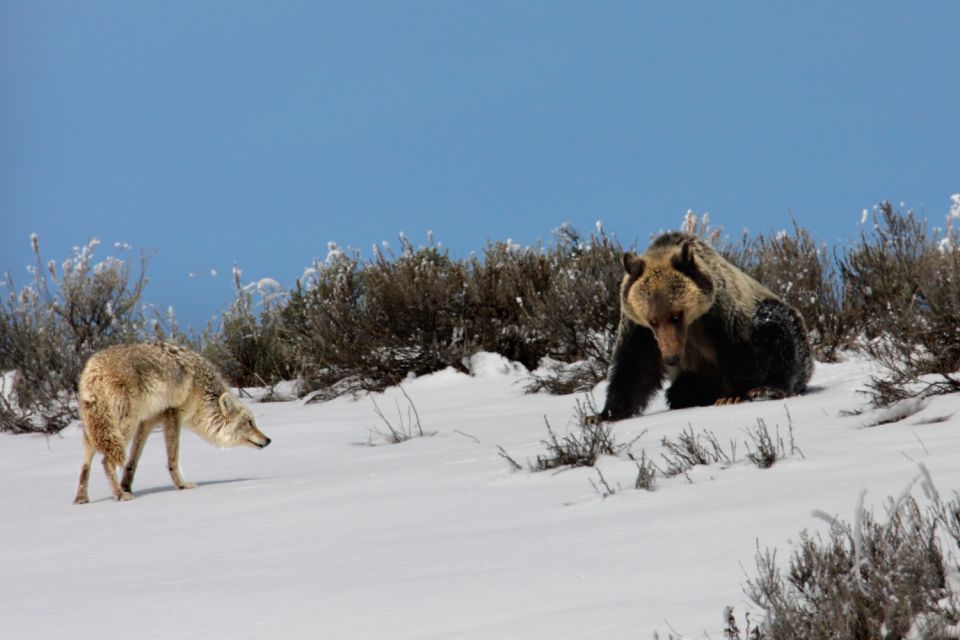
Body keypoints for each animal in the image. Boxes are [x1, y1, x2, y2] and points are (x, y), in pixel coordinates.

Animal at [600, 230, 808, 420]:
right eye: (653, 321)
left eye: (676, 316)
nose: (671, 358)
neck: (692, 323)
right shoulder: (640, 330)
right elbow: (634, 367)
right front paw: (606, 414)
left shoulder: (721, 314)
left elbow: (738, 349)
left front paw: (731, 396)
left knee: (775, 329)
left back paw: (768, 388)